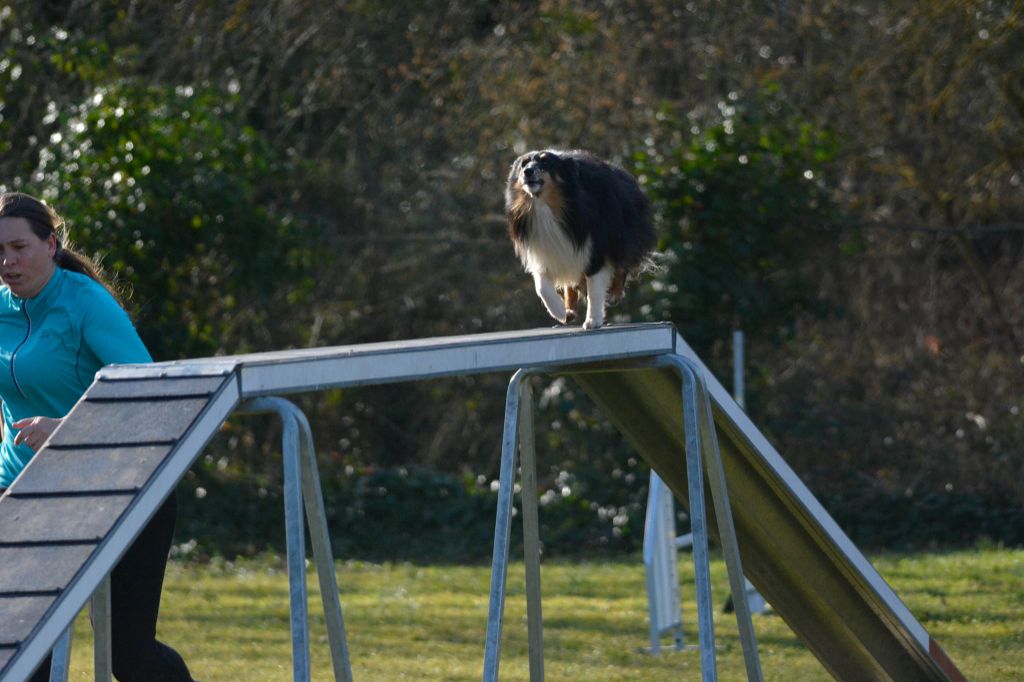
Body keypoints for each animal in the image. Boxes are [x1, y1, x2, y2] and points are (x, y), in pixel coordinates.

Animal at [503, 149, 655, 329]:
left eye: (546, 163)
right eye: (523, 164)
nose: (527, 172)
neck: (544, 206)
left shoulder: (594, 248)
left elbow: (594, 289)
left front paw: (593, 320)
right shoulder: (543, 252)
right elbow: (542, 287)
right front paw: (560, 311)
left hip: (621, 235)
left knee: (623, 264)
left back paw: (614, 294)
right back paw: (569, 311)